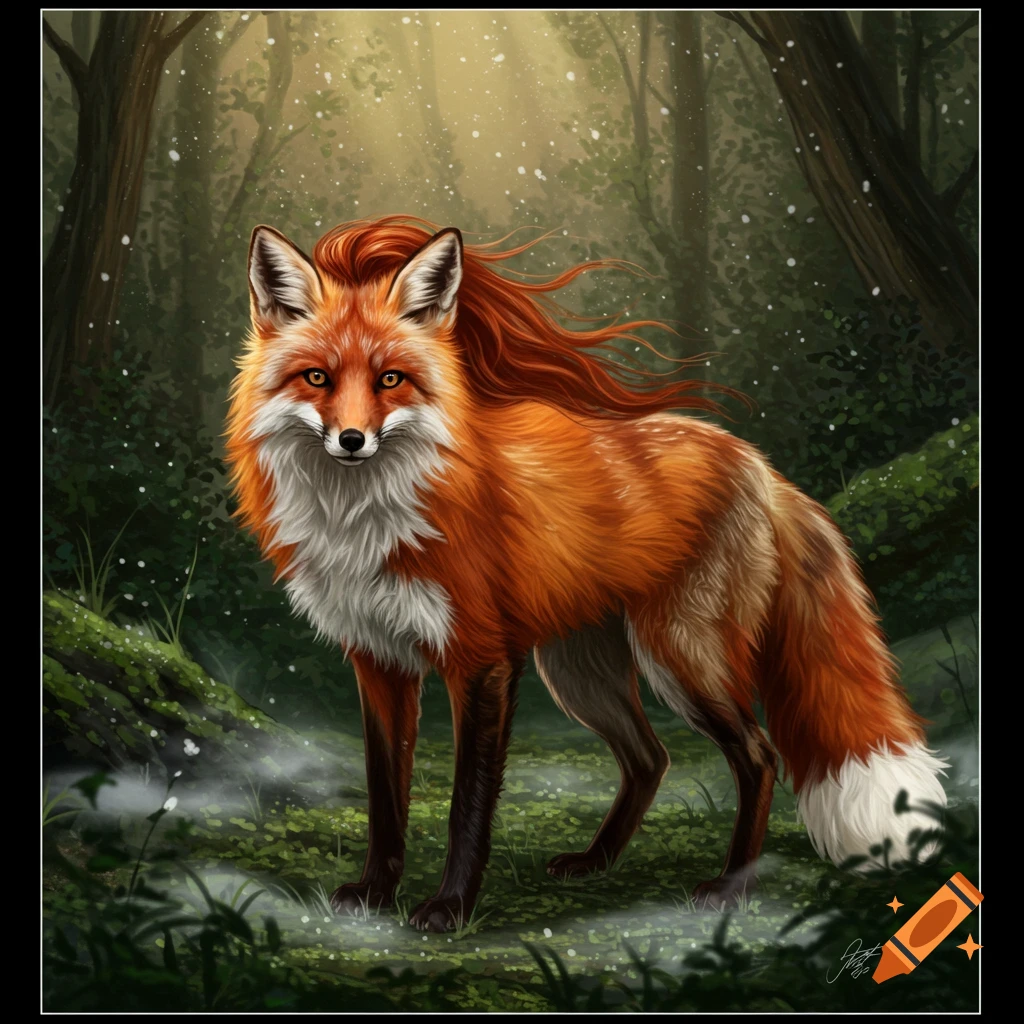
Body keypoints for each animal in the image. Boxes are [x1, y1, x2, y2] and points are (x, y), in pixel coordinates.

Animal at [225, 216, 949, 933]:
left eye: (391, 380)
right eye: (317, 378)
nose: (351, 440)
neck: (366, 520)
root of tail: (758, 464)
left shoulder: (482, 659)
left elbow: (468, 805)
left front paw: (451, 907)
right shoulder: (379, 660)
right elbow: (385, 796)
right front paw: (377, 890)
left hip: (680, 656)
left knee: (759, 753)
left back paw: (730, 885)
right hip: (579, 672)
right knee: (650, 758)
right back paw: (598, 861)